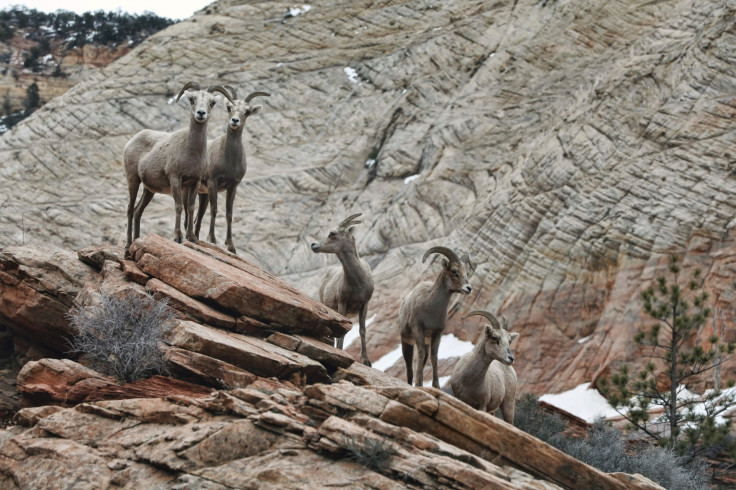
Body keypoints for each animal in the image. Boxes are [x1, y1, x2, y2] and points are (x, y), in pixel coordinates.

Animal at [123, 81, 233, 249]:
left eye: (212, 102)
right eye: (192, 99)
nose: (201, 113)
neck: (192, 150)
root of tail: (131, 141)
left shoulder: (195, 182)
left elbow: (191, 208)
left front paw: (192, 237)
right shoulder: (175, 178)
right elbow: (179, 206)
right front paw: (177, 237)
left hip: (149, 190)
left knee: (137, 211)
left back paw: (137, 240)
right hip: (133, 179)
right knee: (130, 209)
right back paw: (128, 244)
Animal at [194, 86, 272, 253]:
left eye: (247, 111)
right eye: (229, 107)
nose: (235, 121)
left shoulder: (233, 186)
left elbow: (229, 213)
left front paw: (231, 246)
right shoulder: (213, 182)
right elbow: (215, 209)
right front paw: (212, 239)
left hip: (202, 194)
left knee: (199, 215)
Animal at [310, 212, 374, 366]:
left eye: (332, 233)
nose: (313, 245)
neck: (357, 283)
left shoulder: (364, 304)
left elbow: (362, 330)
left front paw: (366, 362)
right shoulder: (342, 303)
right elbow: (342, 332)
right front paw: (340, 351)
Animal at [400, 247, 474, 388]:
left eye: (466, 273)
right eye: (454, 271)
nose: (468, 288)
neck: (430, 308)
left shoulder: (437, 334)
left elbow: (434, 357)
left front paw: (436, 386)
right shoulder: (418, 329)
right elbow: (421, 354)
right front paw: (419, 383)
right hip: (406, 342)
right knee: (409, 366)